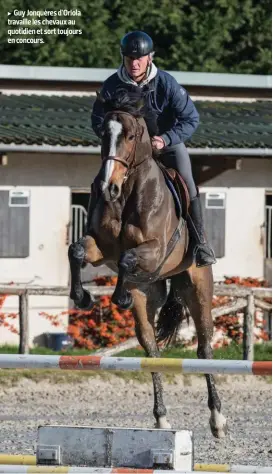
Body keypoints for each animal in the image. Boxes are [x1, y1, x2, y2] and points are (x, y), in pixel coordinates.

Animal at [67, 88, 225, 436]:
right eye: (103, 134)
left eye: (131, 135)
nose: (107, 187)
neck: (127, 191)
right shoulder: (101, 247)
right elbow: (77, 251)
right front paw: (81, 296)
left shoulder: (153, 249)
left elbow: (128, 258)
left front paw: (118, 295)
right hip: (149, 300)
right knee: (152, 350)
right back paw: (162, 418)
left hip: (198, 287)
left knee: (205, 348)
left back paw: (217, 419)